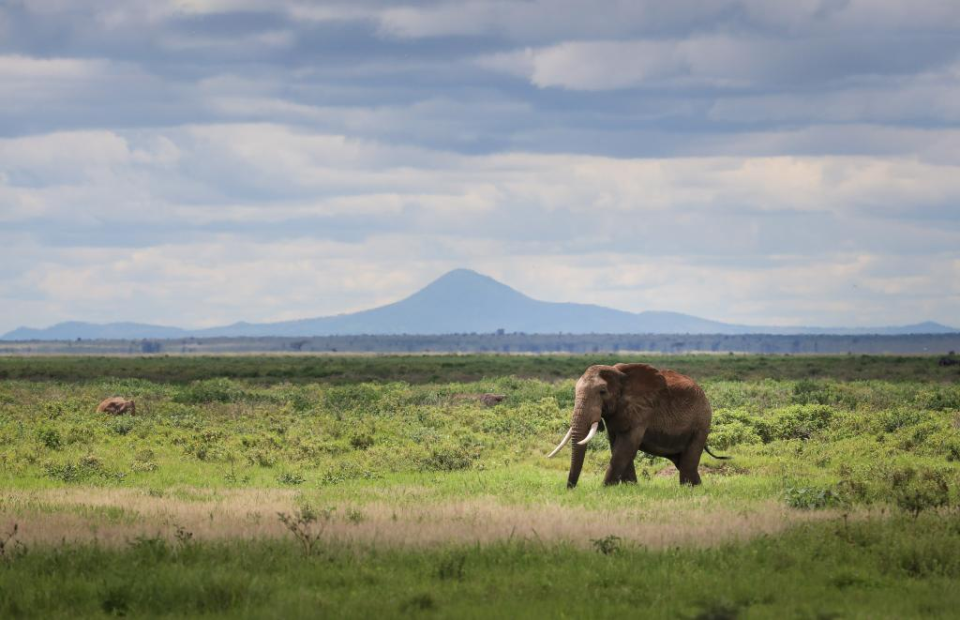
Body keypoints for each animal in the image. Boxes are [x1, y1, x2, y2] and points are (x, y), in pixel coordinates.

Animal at [548, 364, 728, 490]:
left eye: (602, 392)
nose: (570, 489)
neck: (618, 374)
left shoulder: (642, 411)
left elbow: (627, 445)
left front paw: (605, 489)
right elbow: (617, 445)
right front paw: (630, 487)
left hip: (701, 424)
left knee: (688, 461)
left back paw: (688, 489)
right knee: (682, 462)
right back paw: (697, 488)